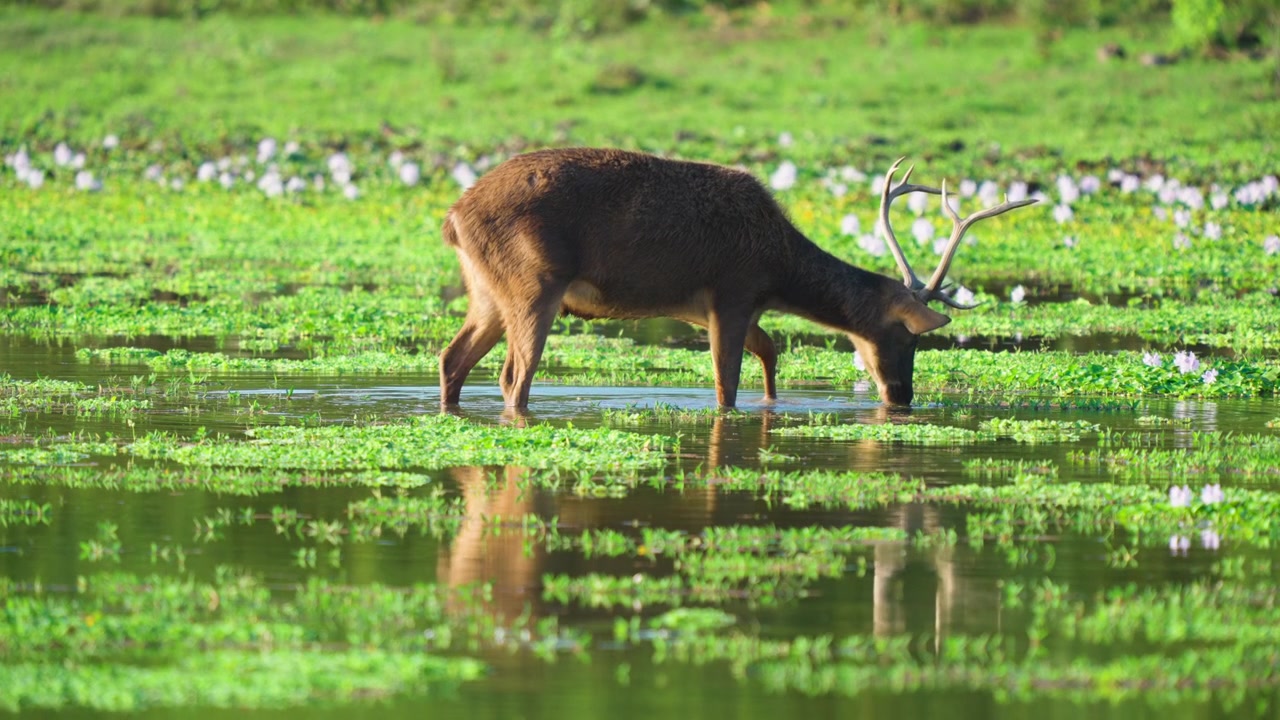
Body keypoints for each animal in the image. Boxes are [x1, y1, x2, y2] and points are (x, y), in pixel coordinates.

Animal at [439, 148, 1037, 410]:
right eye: (907, 337)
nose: (902, 397)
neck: (779, 267)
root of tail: (454, 218)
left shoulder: (728, 305)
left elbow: (770, 352)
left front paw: (772, 405)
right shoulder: (731, 290)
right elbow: (727, 382)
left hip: (487, 291)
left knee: (452, 359)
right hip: (535, 282)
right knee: (513, 376)